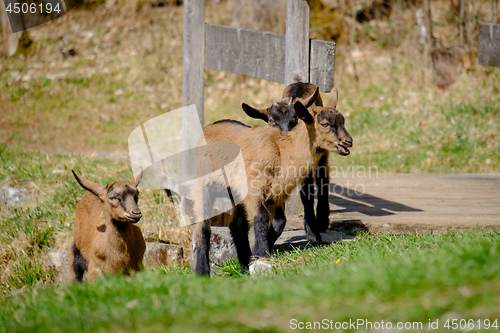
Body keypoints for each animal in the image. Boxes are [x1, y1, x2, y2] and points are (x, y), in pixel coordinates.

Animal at [191, 87, 352, 274]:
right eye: (325, 124)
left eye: (342, 122)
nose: (348, 141)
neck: (282, 152)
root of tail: (210, 126)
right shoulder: (253, 189)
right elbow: (261, 218)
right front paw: (261, 254)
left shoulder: (277, 195)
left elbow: (279, 222)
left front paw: (258, 255)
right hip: (203, 186)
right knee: (202, 226)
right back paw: (202, 271)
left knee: (237, 226)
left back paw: (243, 266)